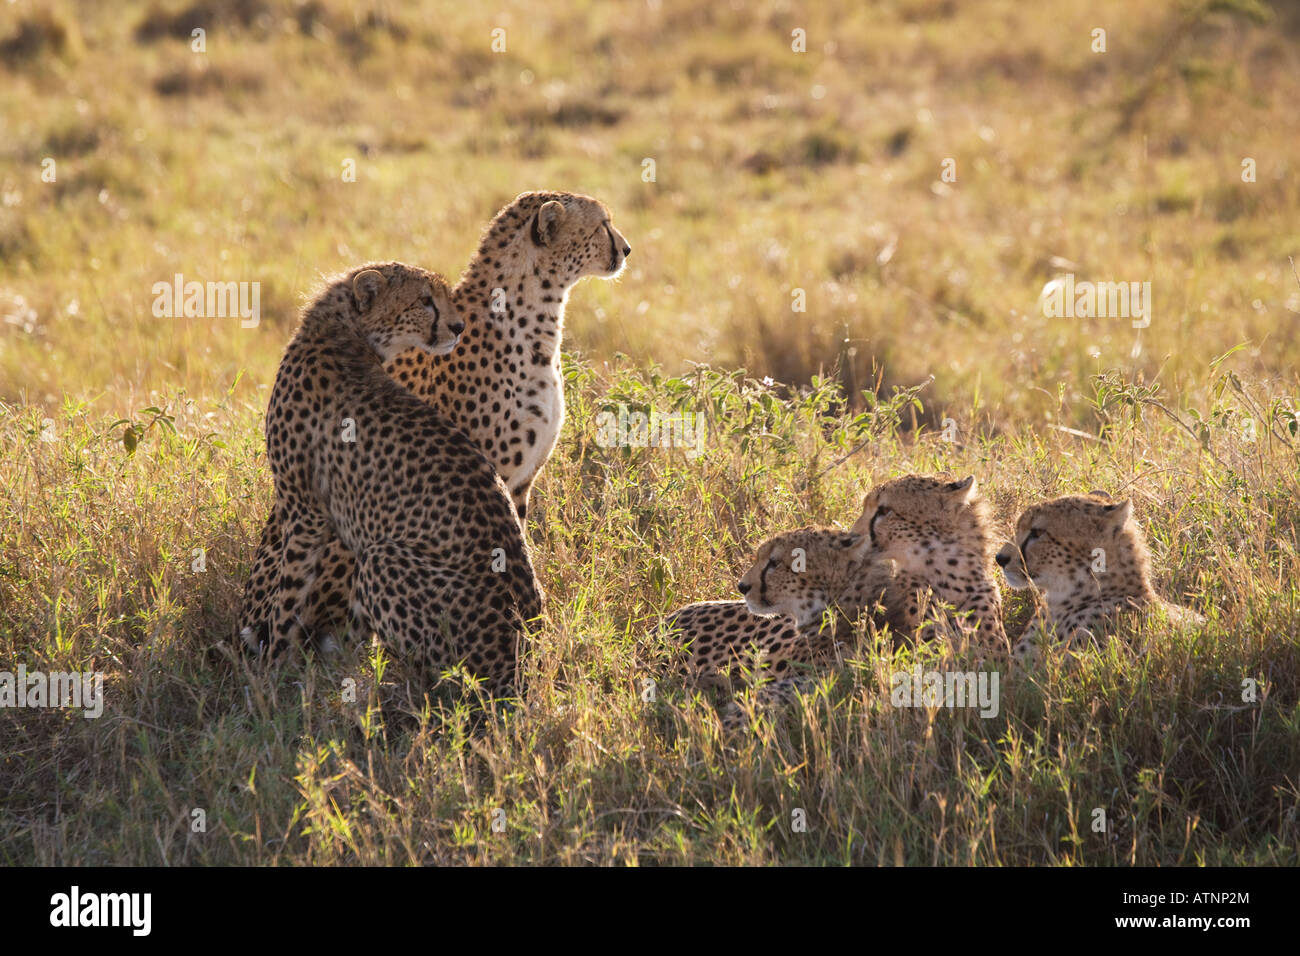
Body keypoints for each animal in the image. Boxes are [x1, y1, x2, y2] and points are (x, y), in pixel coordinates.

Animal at [241, 261, 540, 697]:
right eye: (425, 301)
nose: (459, 327)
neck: (345, 331)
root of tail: (524, 659)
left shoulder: (304, 510)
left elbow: (289, 595)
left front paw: (273, 672)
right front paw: (328, 665)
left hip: (382, 559)